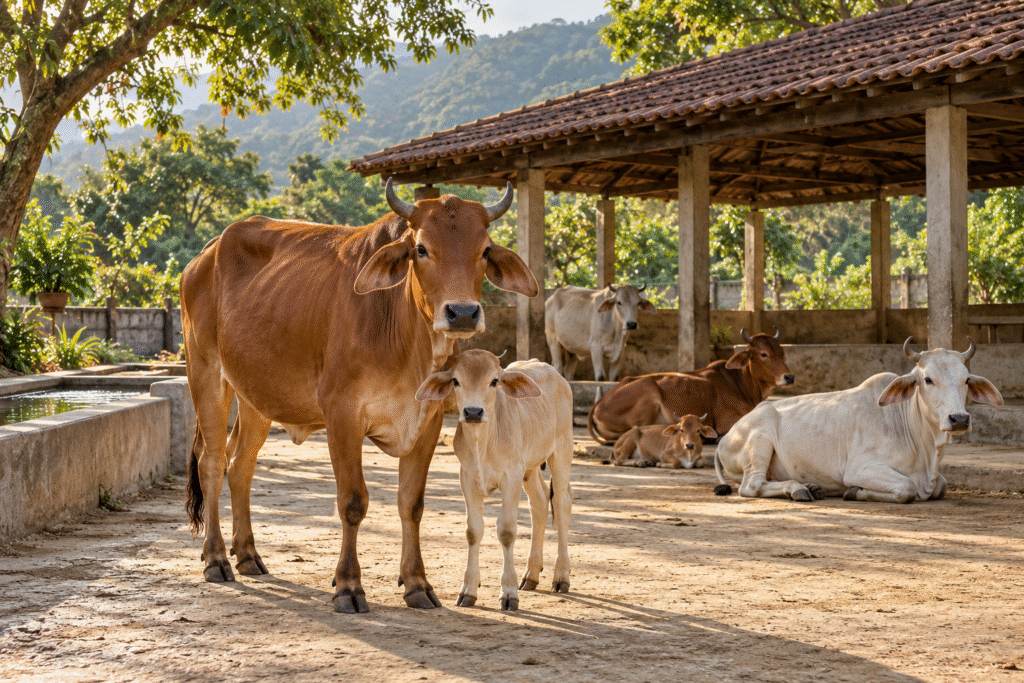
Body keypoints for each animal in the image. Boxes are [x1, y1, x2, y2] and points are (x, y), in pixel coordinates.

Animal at [179, 179, 539, 613]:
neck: (405, 337)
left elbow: (411, 504)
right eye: (421, 248)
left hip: (255, 398)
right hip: (206, 372)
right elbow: (353, 502)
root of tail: (207, 252)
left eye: (484, 249)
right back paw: (216, 559)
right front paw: (348, 586)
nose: (463, 313)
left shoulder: (429, 420)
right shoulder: (342, 415)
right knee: (212, 464)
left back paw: (248, 554)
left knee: (240, 467)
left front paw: (417, 584)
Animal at [416, 350, 573, 611]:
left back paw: (561, 576)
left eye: (494, 381)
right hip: (530, 468)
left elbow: (507, 531)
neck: (483, 443)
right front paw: (468, 590)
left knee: (561, 505)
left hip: (561, 451)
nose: (473, 412)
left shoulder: (511, 477)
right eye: (456, 381)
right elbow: (473, 530)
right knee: (540, 503)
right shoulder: (467, 478)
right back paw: (531, 575)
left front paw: (508, 593)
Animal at [588, 329, 794, 444]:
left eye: (782, 353)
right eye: (763, 354)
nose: (789, 377)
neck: (741, 383)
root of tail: (598, 404)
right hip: (649, 390)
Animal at [714, 338, 1003, 503]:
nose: (959, 419)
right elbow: (906, 488)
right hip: (759, 442)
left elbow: (941, 485)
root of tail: (725, 438)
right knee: (752, 486)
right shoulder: (860, 469)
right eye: (928, 379)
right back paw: (797, 490)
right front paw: (854, 492)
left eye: (966, 379)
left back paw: (811, 487)